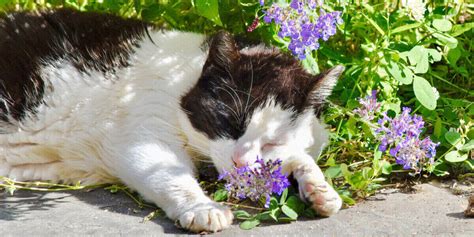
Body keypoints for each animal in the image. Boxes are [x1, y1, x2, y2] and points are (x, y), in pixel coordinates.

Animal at [0, 8, 344, 231]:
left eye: (273, 141)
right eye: (229, 122)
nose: (240, 162)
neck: (183, 79)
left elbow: (298, 158)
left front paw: (320, 189)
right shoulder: (141, 136)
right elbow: (171, 175)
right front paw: (203, 208)